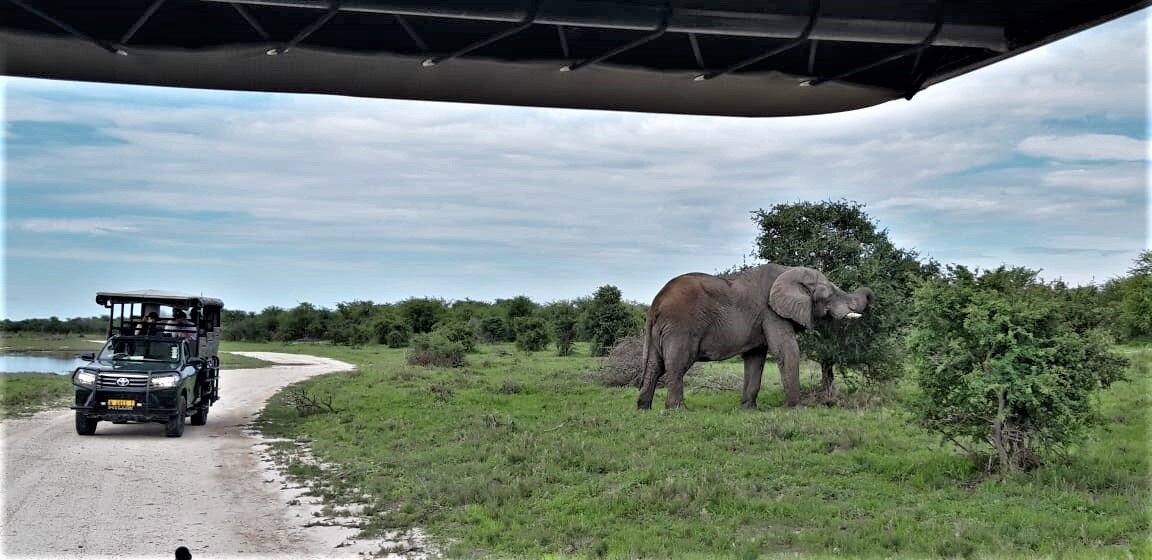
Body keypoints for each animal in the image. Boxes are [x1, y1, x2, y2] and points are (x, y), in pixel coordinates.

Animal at [631, 265, 870, 410]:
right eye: (830, 294)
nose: (870, 294)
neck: (788, 272)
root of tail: (655, 302)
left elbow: (755, 358)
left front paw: (748, 409)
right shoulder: (772, 312)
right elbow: (787, 350)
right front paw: (797, 408)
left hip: (660, 330)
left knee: (655, 365)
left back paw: (643, 408)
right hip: (681, 327)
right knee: (677, 364)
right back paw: (678, 409)